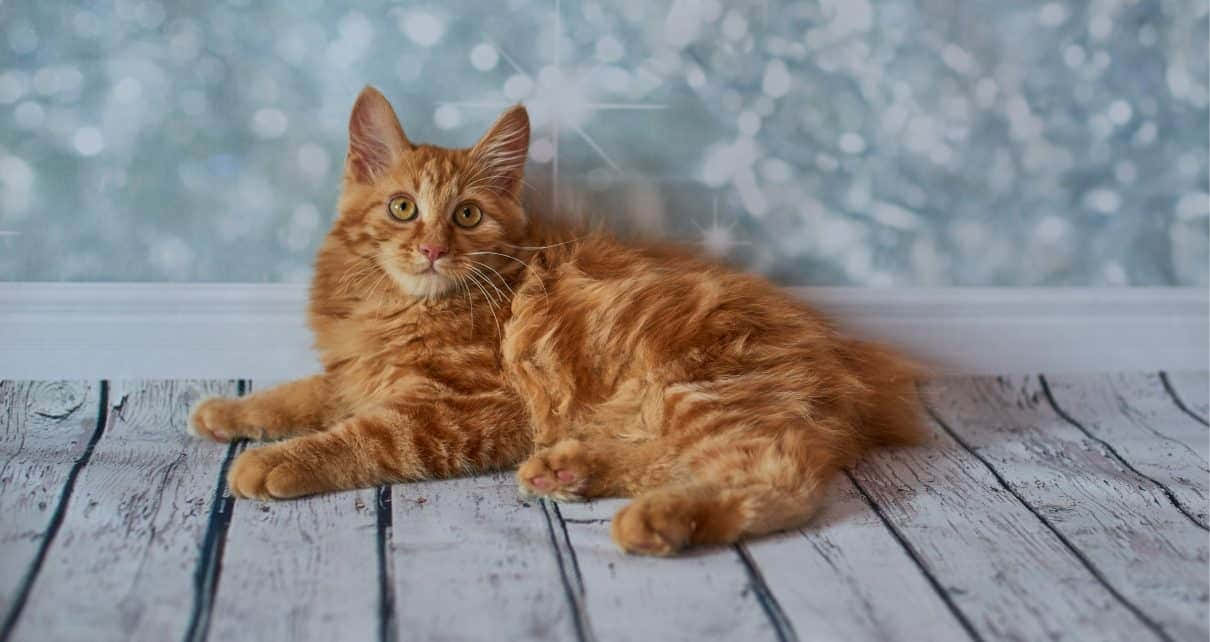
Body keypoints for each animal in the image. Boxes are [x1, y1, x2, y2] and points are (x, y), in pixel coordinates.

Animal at [188, 86, 919, 558]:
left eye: (467, 216)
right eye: (402, 208)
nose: (432, 249)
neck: (402, 304)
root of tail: (844, 361)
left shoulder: (466, 406)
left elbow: (359, 436)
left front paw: (274, 462)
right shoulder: (357, 374)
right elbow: (301, 394)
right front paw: (227, 411)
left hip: (698, 385)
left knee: (779, 475)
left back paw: (660, 520)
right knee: (678, 455)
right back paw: (571, 471)